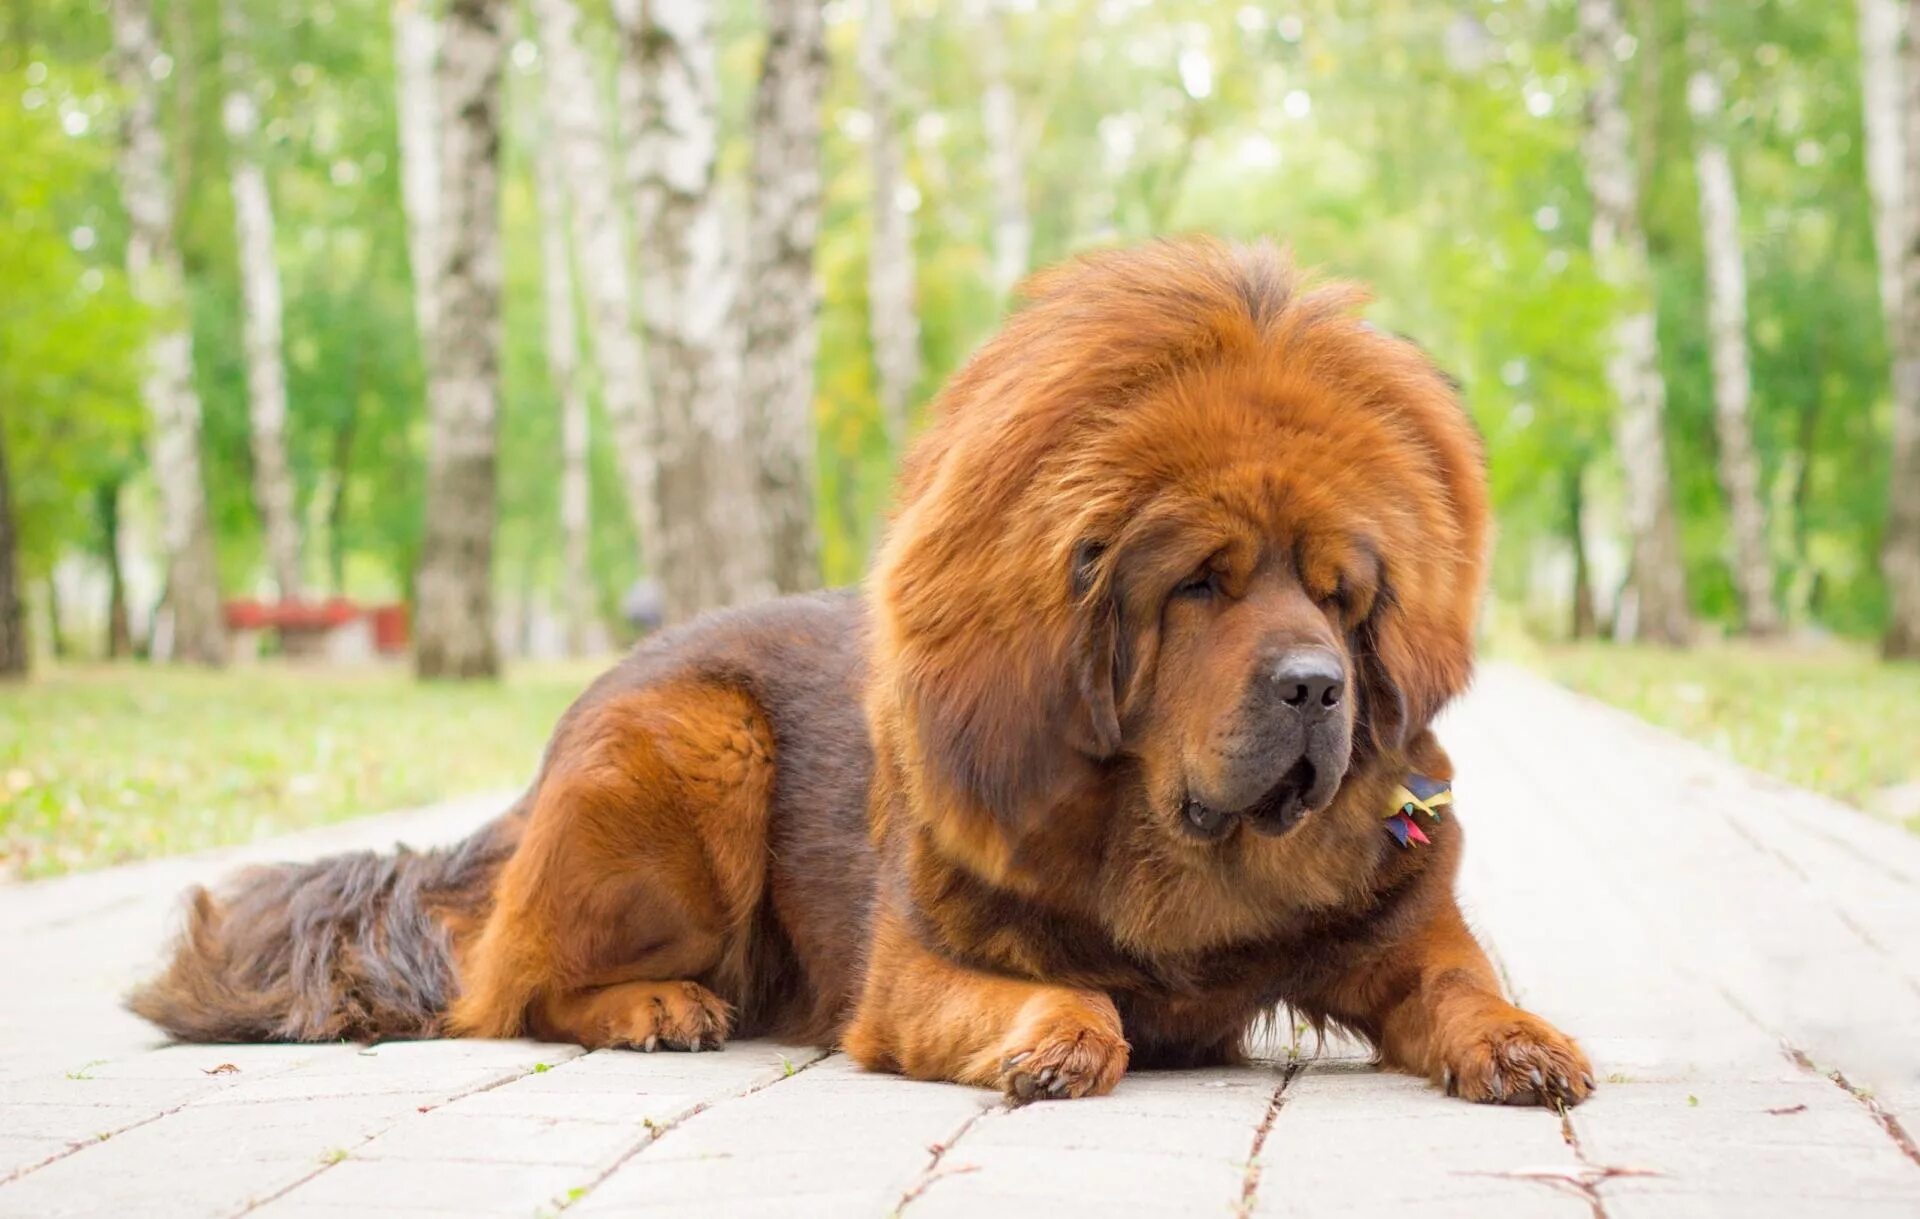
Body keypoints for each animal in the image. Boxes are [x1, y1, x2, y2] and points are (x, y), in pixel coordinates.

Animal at [135, 238, 1597, 1105]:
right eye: (1200, 584)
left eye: (1344, 597)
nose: (1314, 687)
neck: (1185, 861)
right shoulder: (914, 974)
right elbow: (1076, 996)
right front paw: (1063, 1037)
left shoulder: (1408, 933)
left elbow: (1466, 986)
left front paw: (1526, 1039)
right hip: (698, 741)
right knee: (514, 989)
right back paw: (660, 1003)